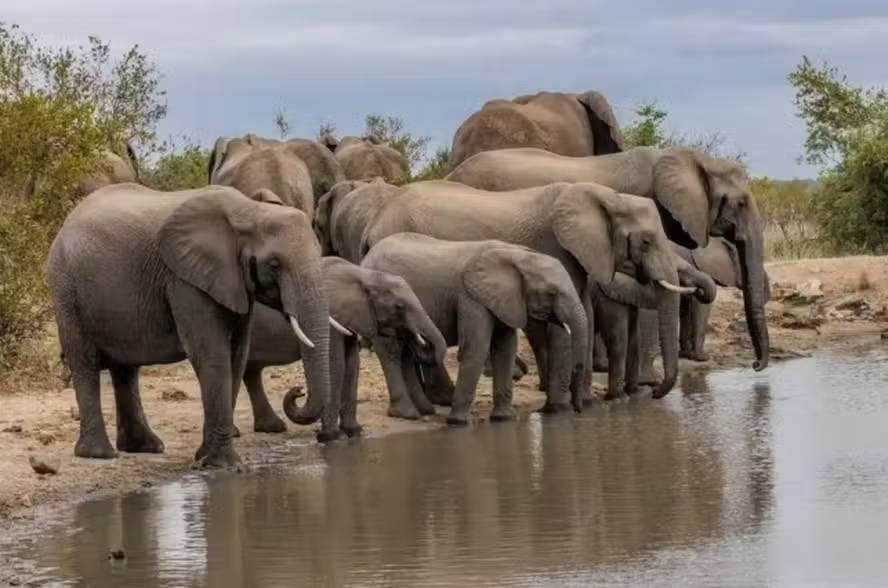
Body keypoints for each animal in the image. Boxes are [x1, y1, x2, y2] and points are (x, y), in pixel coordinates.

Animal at [46, 184, 331, 468]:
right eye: (274, 264)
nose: (298, 390)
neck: (248, 210)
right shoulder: (185, 280)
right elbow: (212, 354)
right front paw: (224, 465)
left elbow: (237, 355)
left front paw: (204, 458)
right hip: (66, 289)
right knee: (85, 362)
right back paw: (99, 454)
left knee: (125, 369)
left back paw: (145, 447)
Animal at [240, 256, 447, 441]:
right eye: (399, 306)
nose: (299, 390)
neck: (364, 276)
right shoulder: (333, 317)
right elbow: (336, 364)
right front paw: (331, 437)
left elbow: (352, 364)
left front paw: (354, 432)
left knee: (249, 371)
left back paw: (271, 428)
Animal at [360, 180, 700, 401]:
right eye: (645, 241)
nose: (655, 393)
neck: (605, 196)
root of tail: (372, 224)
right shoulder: (552, 246)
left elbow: (583, 311)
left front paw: (585, 401)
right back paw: (443, 399)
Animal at [362, 233, 588, 423]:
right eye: (551, 293)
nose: (578, 410)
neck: (517, 255)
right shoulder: (471, 296)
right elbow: (477, 346)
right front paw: (459, 422)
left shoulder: (504, 300)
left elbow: (505, 348)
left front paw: (504, 418)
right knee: (391, 351)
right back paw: (407, 413)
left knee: (406, 354)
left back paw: (424, 410)